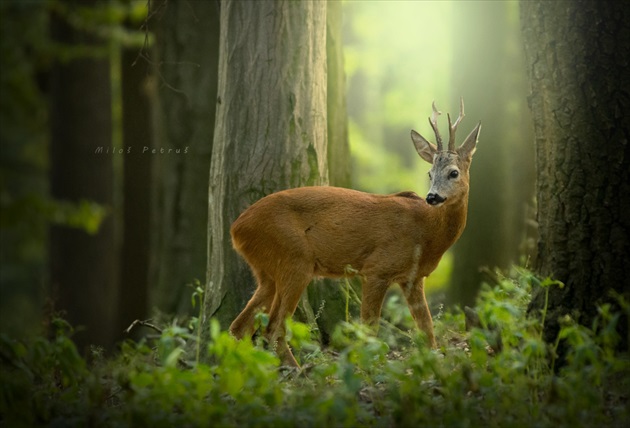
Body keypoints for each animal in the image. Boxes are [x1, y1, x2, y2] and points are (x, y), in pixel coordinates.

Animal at [230, 98, 482, 366]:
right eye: (430, 173)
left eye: (453, 172)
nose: (432, 197)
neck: (427, 233)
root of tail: (236, 229)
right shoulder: (376, 269)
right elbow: (370, 329)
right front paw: (368, 366)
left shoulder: (412, 278)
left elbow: (428, 330)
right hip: (294, 259)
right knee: (273, 327)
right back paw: (297, 370)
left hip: (267, 271)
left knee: (239, 326)